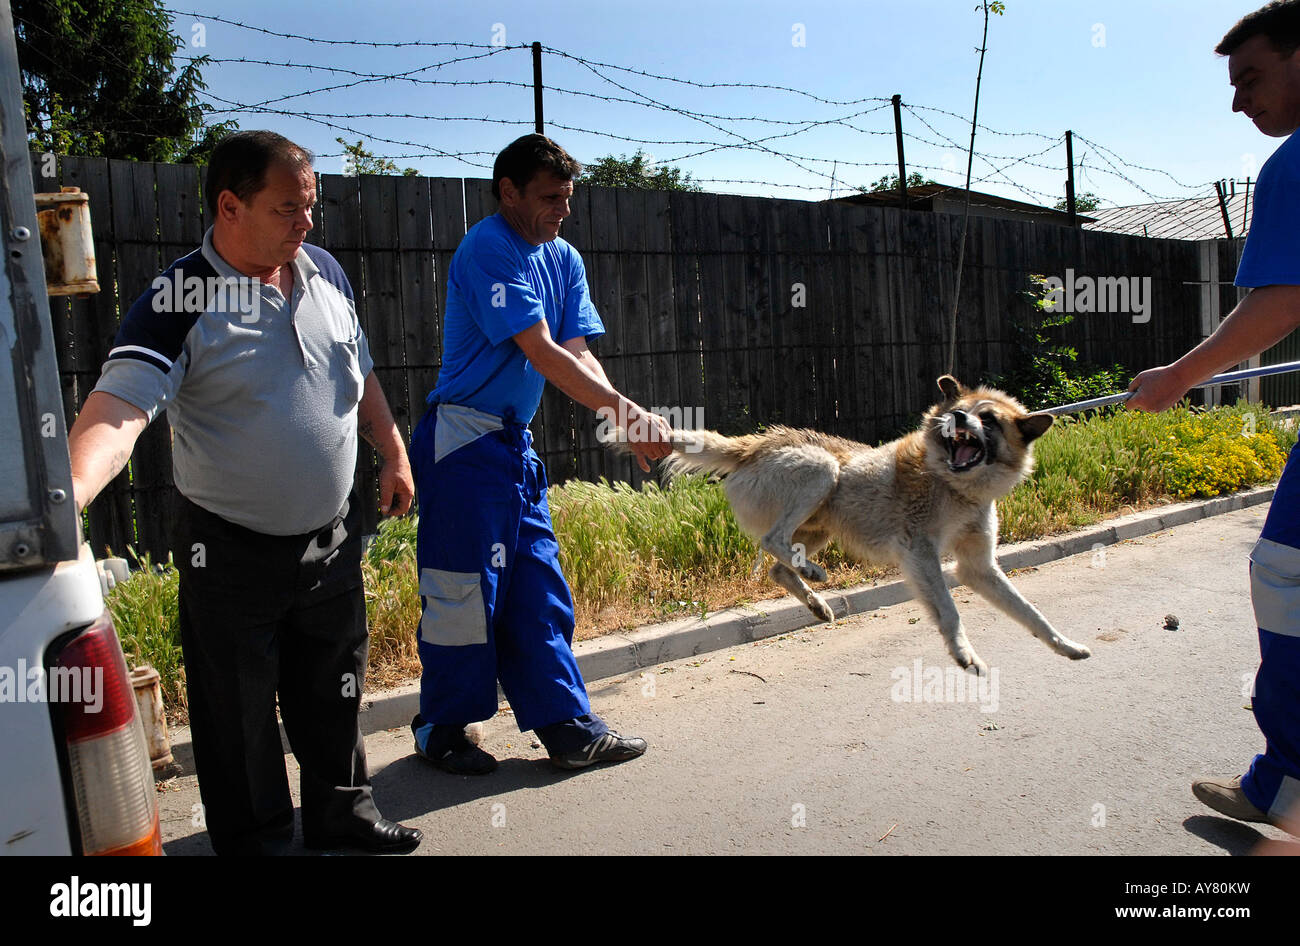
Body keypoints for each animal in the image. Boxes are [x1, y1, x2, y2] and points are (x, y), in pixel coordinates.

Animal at [660, 374, 1086, 675]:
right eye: (961, 410)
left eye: (989, 419)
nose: (958, 417)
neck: (952, 485)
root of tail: (753, 445)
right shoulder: (921, 554)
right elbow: (949, 611)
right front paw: (964, 654)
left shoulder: (978, 568)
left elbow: (1031, 613)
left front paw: (1065, 645)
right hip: (822, 471)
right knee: (771, 540)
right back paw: (813, 574)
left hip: (820, 528)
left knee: (779, 568)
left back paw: (816, 602)